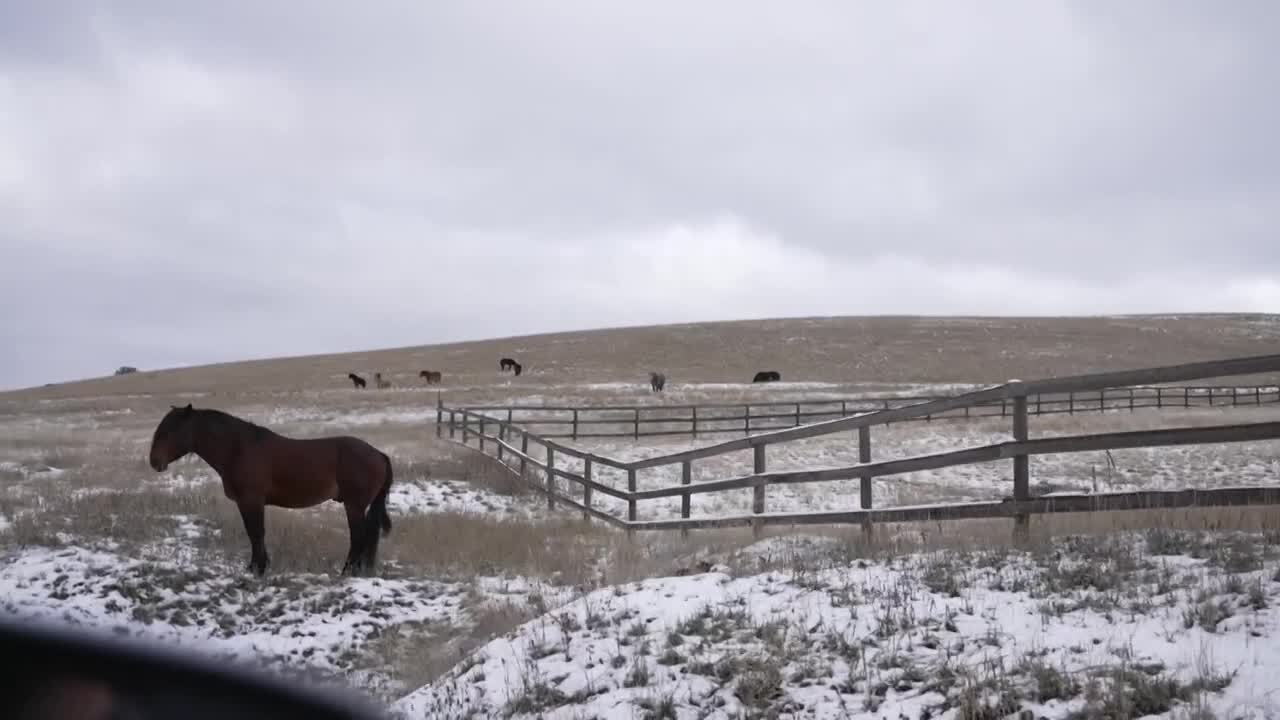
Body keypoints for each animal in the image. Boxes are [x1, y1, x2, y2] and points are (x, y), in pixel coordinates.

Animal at [147, 404, 394, 577]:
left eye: (171, 431)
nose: (154, 462)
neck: (238, 449)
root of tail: (378, 454)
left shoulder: (252, 500)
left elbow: (257, 533)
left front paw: (259, 568)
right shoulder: (245, 503)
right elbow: (253, 533)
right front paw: (255, 567)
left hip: (354, 505)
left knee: (359, 537)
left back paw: (346, 572)